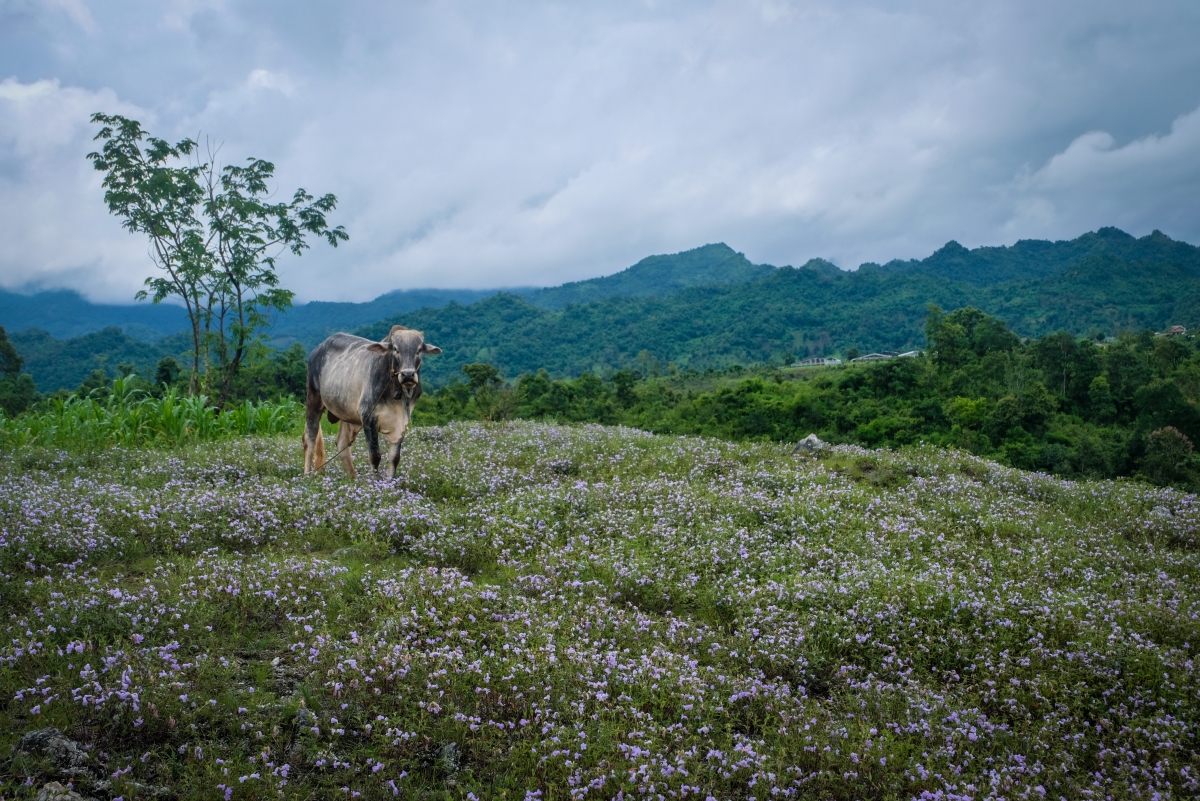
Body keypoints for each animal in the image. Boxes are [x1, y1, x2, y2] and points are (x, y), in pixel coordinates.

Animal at [302, 323, 444, 479]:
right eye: (396, 349)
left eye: (419, 350)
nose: (408, 375)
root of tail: (317, 349)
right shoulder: (368, 417)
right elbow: (375, 456)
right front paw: (375, 482)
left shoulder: (402, 422)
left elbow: (394, 458)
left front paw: (389, 482)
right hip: (313, 401)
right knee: (310, 439)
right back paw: (306, 474)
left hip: (346, 413)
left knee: (342, 443)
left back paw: (353, 478)